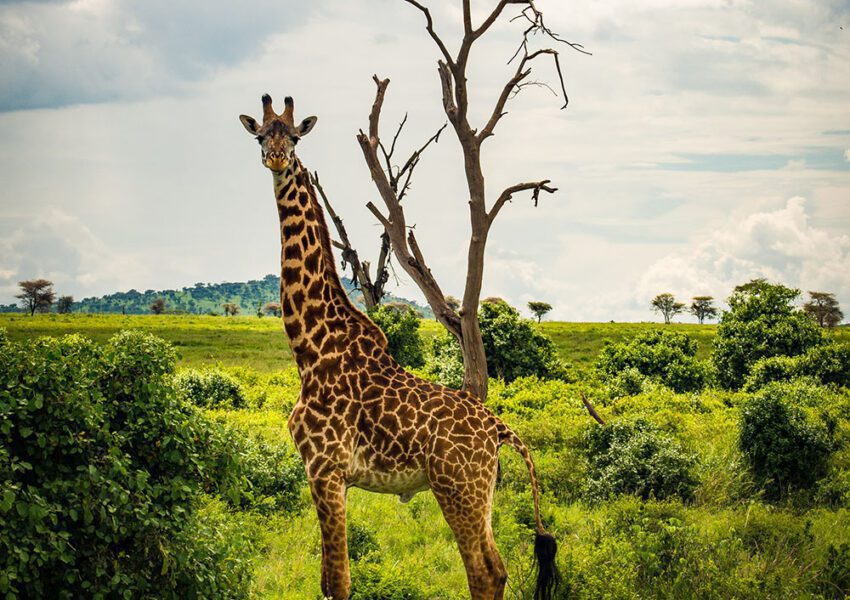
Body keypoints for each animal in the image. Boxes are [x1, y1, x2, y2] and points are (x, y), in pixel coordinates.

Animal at [239, 95, 559, 600]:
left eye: (293, 137)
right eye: (259, 137)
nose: (275, 159)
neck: (310, 347)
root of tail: (500, 429)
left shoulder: (326, 467)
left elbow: (340, 583)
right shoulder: (325, 475)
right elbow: (328, 579)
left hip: (458, 487)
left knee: (483, 572)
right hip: (482, 490)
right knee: (498, 568)